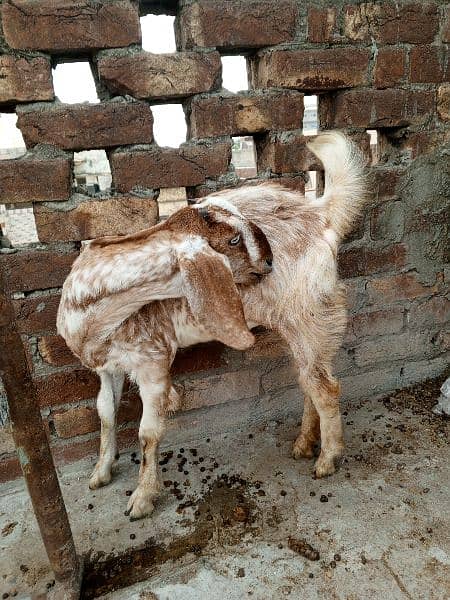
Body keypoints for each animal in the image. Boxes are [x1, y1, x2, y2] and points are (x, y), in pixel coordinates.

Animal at [58, 200, 272, 516]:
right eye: (233, 240)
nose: (270, 261)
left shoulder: (153, 363)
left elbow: (148, 433)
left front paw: (143, 497)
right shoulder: (109, 366)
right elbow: (105, 412)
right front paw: (101, 471)